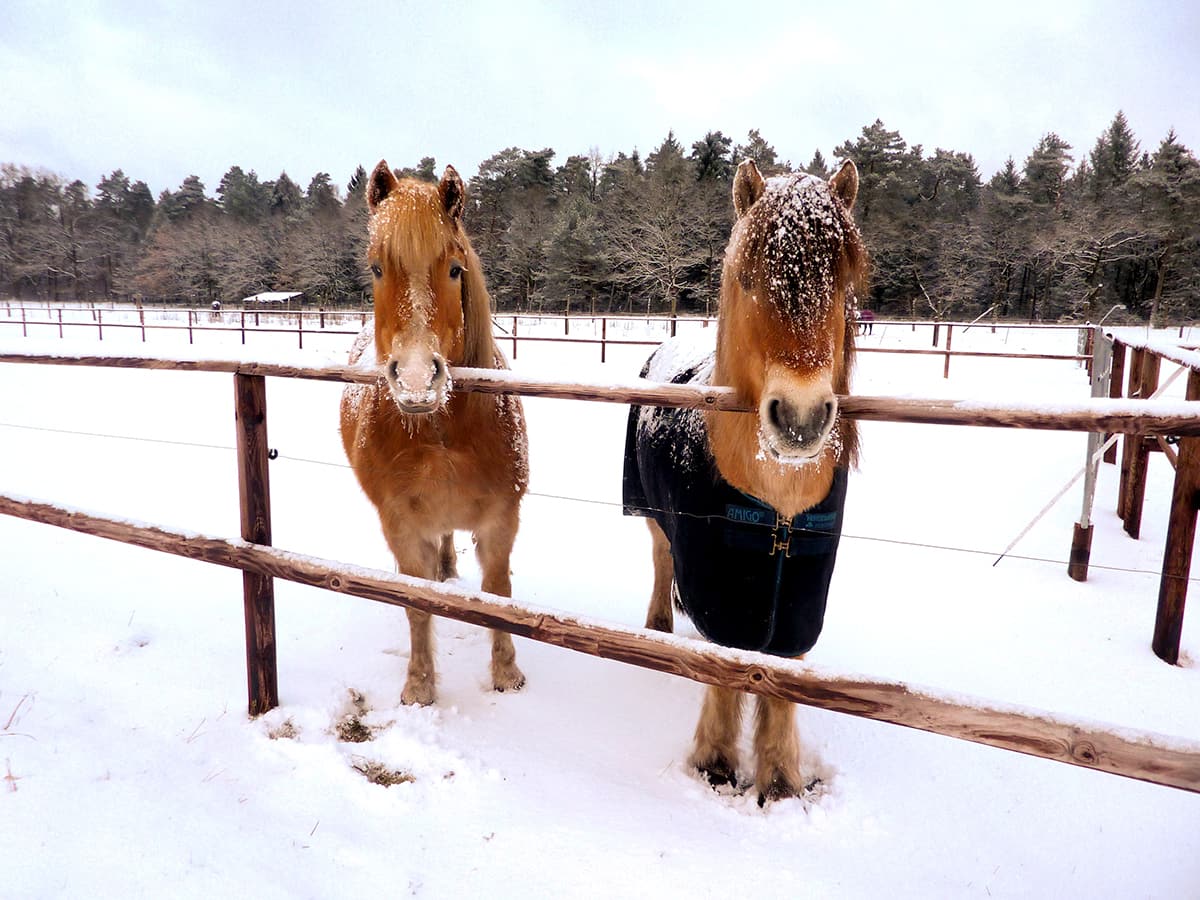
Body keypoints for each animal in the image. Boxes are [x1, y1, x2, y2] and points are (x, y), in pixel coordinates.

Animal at [338, 165, 525, 710]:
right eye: (377, 268)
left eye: (455, 269)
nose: (418, 380)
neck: (441, 431)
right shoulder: (401, 525)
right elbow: (417, 604)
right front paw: (420, 686)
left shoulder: (502, 520)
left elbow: (499, 594)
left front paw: (507, 674)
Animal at [624, 158, 868, 806]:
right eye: (751, 279)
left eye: (842, 282)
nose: (801, 418)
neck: (778, 506)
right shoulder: (720, 578)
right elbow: (727, 670)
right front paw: (714, 763)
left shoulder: (805, 586)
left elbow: (782, 680)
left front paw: (780, 780)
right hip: (649, 512)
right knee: (661, 558)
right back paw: (660, 626)